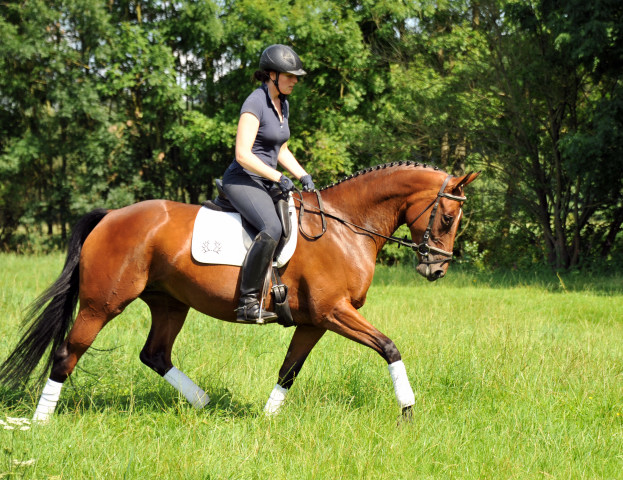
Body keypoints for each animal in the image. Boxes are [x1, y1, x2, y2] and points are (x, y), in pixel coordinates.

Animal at [0, 160, 480, 420]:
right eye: (446, 218)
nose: (436, 269)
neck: (347, 227)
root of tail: (111, 215)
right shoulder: (335, 312)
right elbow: (389, 347)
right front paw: (408, 410)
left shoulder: (315, 321)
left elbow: (288, 371)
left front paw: (265, 420)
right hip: (103, 304)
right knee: (68, 354)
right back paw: (40, 423)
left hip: (170, 304)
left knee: (155, 355)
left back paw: (203, 403)